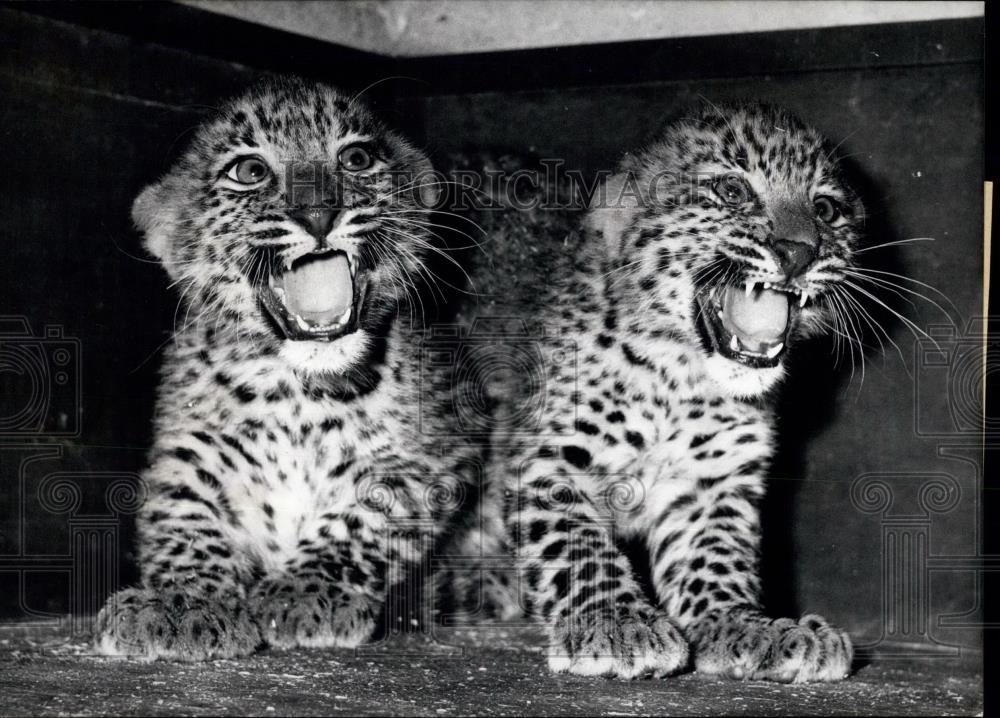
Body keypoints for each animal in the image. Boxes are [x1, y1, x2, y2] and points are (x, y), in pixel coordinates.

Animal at [94, 78, 476, 660]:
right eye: (249, 170)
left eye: (357, 158)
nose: (319, 213)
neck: (298, 393)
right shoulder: (186, 451)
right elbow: (182, 517)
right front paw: (181, 602)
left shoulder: (434, 456)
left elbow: (365, 514)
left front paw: (306, 592)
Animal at [446, 102, 861, 681]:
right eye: (732, 191)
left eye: (825, 209)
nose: (798, 252)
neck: (682, 378)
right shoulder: (551, 460)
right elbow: (576, 545)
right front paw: (615, 622)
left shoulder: (713, 483)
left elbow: (717, 556)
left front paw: (746, 626)